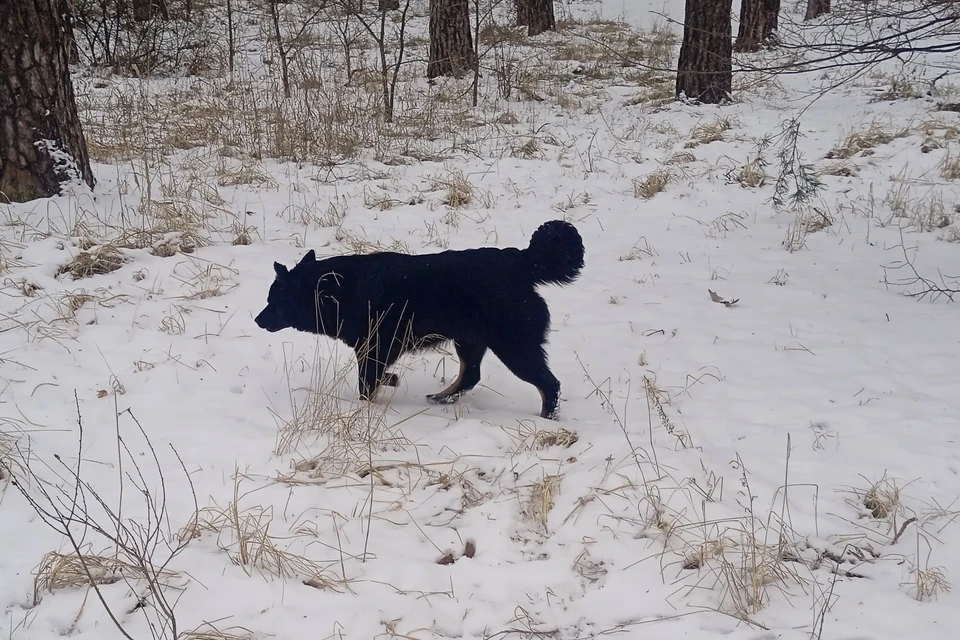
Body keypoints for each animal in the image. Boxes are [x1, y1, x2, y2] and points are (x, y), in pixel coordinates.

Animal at [255, 220, 580, 420]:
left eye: (274, 300)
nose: (258, 319)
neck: (337, 290)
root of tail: (521, 262)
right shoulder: (373, 349)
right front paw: (390, 382)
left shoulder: (377, 348)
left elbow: (367, 383)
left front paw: (374, 397)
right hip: (470, 340)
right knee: (470, 375)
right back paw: (441, 398)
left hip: (514, 347)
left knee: (549, 384)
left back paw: (547, 418)